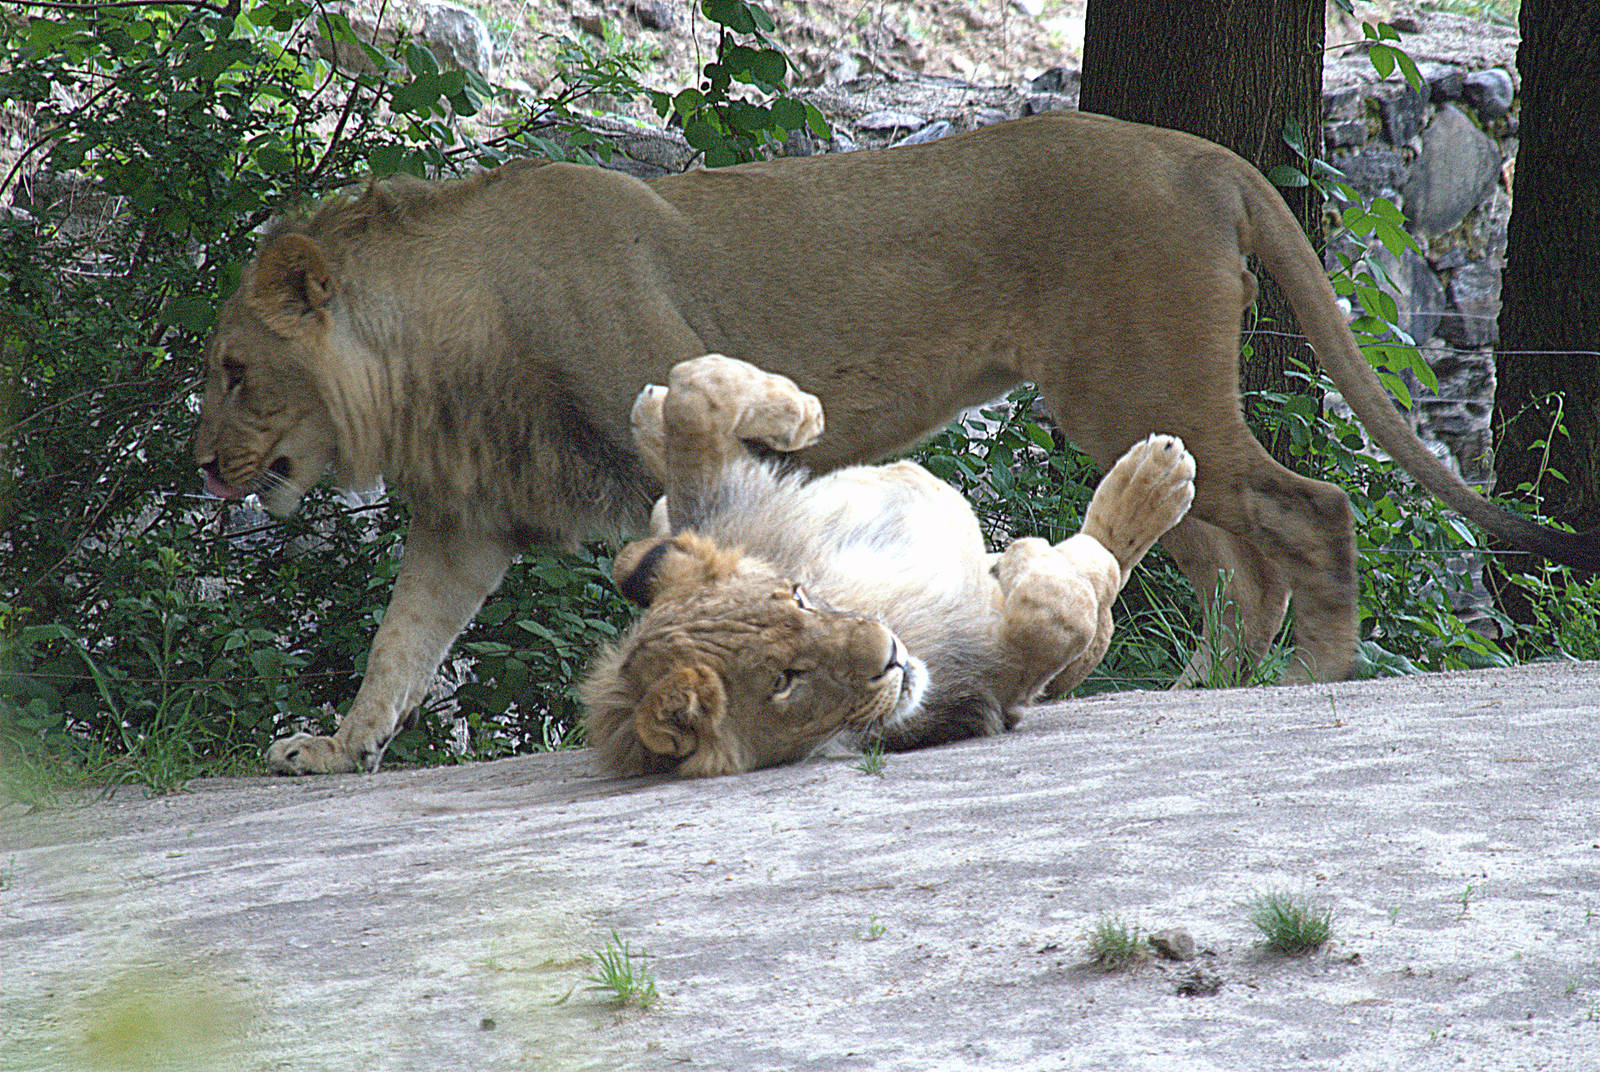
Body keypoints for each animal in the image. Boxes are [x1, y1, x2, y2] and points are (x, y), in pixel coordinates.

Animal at [580, 355, 1197, 777]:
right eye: (784, 681)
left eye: (798, 597)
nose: (890, 653)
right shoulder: (992, 689)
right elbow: (1058, 614)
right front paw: (1025, 560)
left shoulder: (728, 505)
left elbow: (696, 390)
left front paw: (800, 413)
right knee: (1102, 580)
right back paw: (1153, 479)